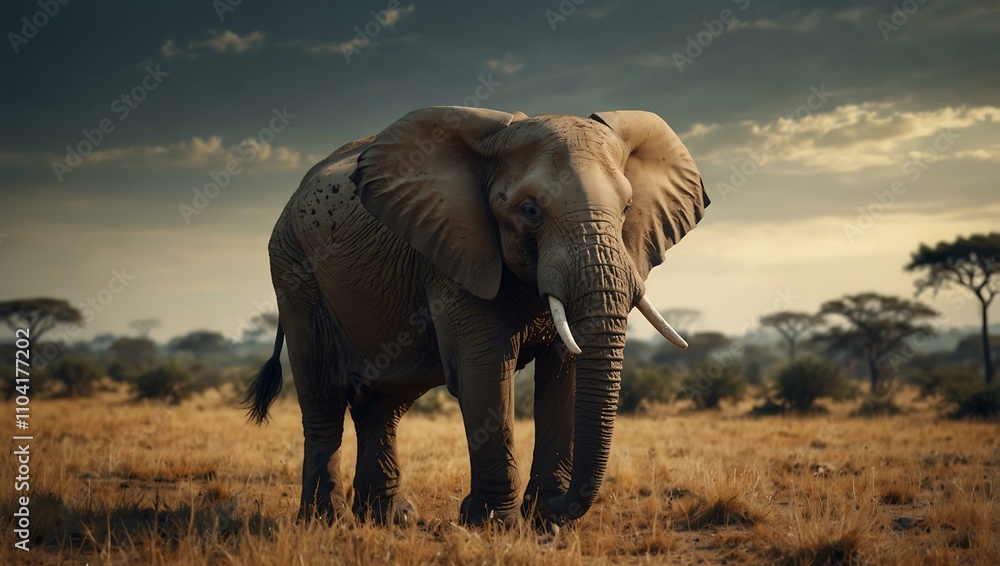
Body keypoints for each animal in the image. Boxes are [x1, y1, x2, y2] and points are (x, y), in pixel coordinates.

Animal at [244, 106, 709, 528]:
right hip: (295, 273)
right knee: (323, 397)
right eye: (530, 211)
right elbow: (484, 369)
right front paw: (492, 523)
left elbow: (567, 372)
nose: (555, 507)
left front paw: (546, 523)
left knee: (384, 402)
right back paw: (324, 521)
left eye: (628, 206)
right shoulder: (456, 254)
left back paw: (390, 519)